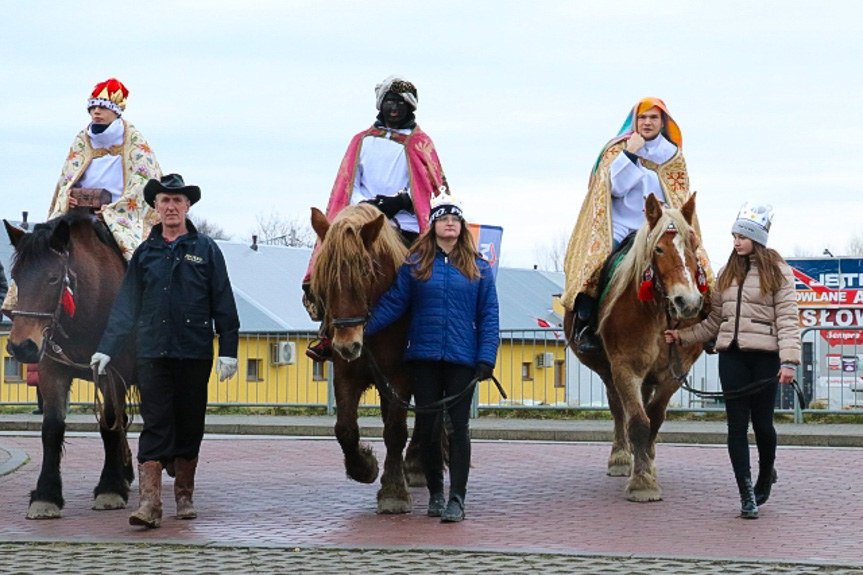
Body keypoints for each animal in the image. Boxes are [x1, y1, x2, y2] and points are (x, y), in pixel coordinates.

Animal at [3, 214, 135, 520]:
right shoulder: (52, 370)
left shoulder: (111, 372)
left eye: (53, 278)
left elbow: (109, 424)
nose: (21, 346)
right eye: (16, 276)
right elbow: (52, 429)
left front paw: (110, 488)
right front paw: (46, 494)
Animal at [310, 202, 426, 512]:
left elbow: (395, 431)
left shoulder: (400, 376)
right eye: (324, 273)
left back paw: (417, 466)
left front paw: (394, 492)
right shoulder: (346, 374)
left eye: (365, 271)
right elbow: (346, 429)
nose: (347, 344)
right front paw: (364, 467)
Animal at [564, 194, 712, 500]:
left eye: (694, 246)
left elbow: (653, 417)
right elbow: (637, 421)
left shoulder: (674, 374)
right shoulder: (624, 368)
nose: (688, 302)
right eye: (658, 249)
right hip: (608, 371)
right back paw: (621, 457)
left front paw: (647, 468)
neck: (657, 314)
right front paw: (642, 482)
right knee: (618, 409)